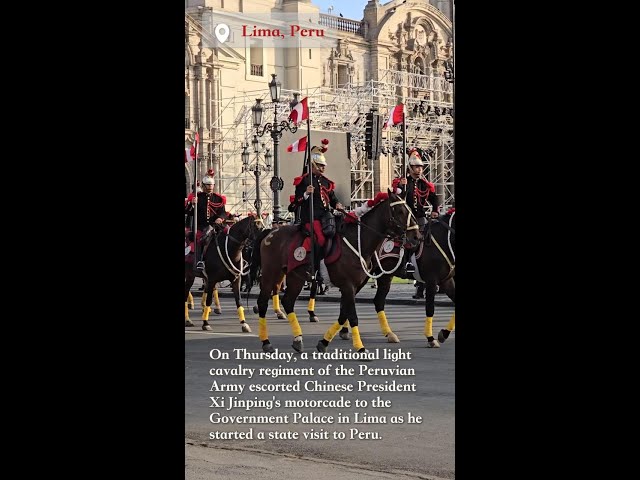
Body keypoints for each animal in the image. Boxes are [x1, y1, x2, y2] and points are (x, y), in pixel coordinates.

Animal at [252, 190, 422, 352]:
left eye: (409, 209)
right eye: (399, 211)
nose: (417, 237)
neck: (358, 241)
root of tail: (270, 233)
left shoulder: (354, 286)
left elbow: (343, 313)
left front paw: (324, 342)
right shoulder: (348, 285)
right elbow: (352, 316)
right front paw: (360, 348)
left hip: (296, 277)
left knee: (287, 301)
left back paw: (298, 339)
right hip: (271, 273)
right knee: (263, 302)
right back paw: (266, 342)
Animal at [336, 212, 456, 346]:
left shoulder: (446, 281)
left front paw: (444, 334)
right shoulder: (431, 281)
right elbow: (430, 309)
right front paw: (431, 338)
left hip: (384, 276)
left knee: (377, 302)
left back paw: (389, 334)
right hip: (362, 277)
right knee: (347, 300)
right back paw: (344, 331)